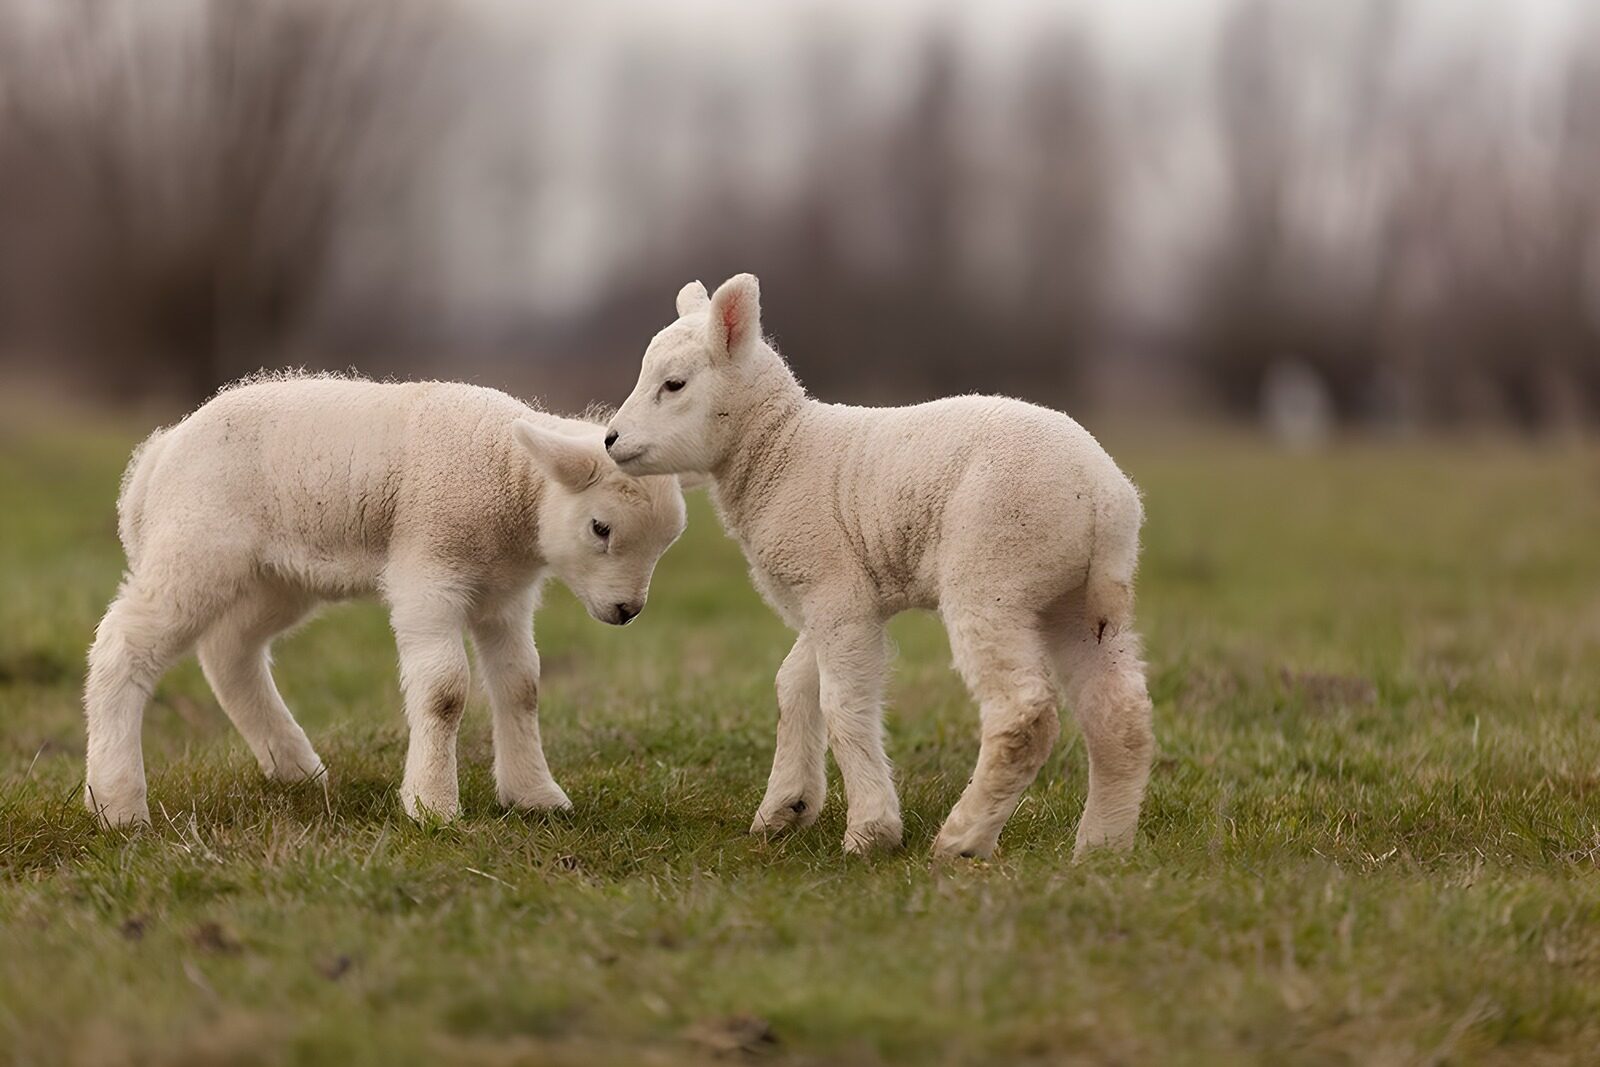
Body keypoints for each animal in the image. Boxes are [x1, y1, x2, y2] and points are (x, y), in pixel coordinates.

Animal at [84, 374, 686, 828]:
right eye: (600, 528)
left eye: (665, 544)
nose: (626, 611)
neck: (511, 483)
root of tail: (157, 456)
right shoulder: (428, 571)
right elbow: (444, 691)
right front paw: (432, 806)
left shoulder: (504, 596)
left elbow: (522, 687)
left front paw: (534, 795)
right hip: (195, 545)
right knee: (124, 646)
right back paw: (116, 804)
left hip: (275, 576)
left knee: (230, 650)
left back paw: (295, 767)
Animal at [605, 275, 1154, 859]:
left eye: (674, 384)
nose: (610, 440)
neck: (781, 450)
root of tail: (1104, 497)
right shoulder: (838, 594)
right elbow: (793, 684)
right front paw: (785, 808)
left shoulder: (834, 589)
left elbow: (842, 704)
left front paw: (871, 830)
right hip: (1074, 600)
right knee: (1119, 715)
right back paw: (1101, 847)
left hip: (993, 574)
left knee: (1023, 714)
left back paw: (962, 839)